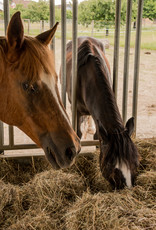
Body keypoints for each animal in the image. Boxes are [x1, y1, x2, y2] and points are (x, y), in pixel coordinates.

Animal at [62, 36, 140, 189]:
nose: (127, 188)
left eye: (135, 163)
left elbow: (97, 138)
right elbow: (78, 134)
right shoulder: (77, 111)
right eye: (112, 166)